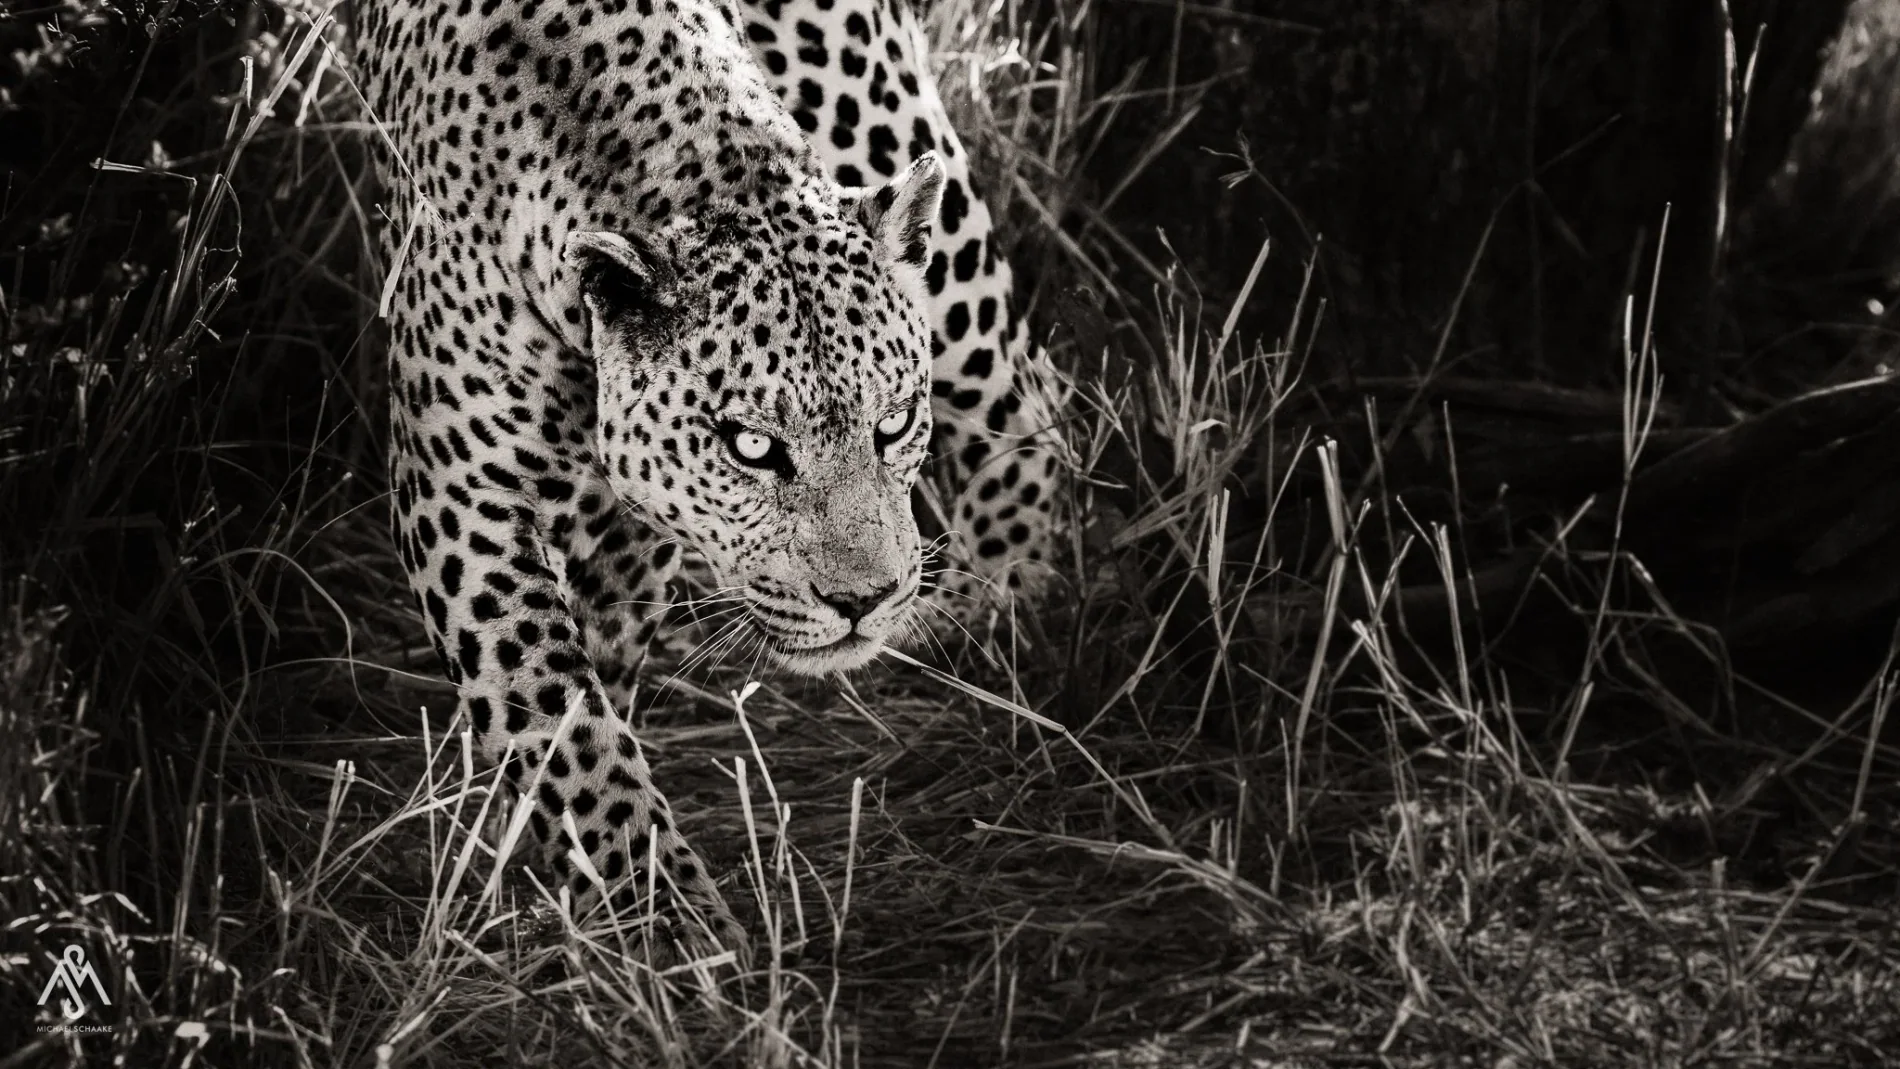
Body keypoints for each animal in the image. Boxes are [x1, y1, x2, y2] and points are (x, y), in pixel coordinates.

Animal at [349, 0, 1063, 962]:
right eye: (751, 446)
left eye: (894, 424)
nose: (866, 601)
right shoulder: (461, 503)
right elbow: (567, 724)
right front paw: (665, 927)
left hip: (873, 104)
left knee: (1019, 382)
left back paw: (1000, 622)